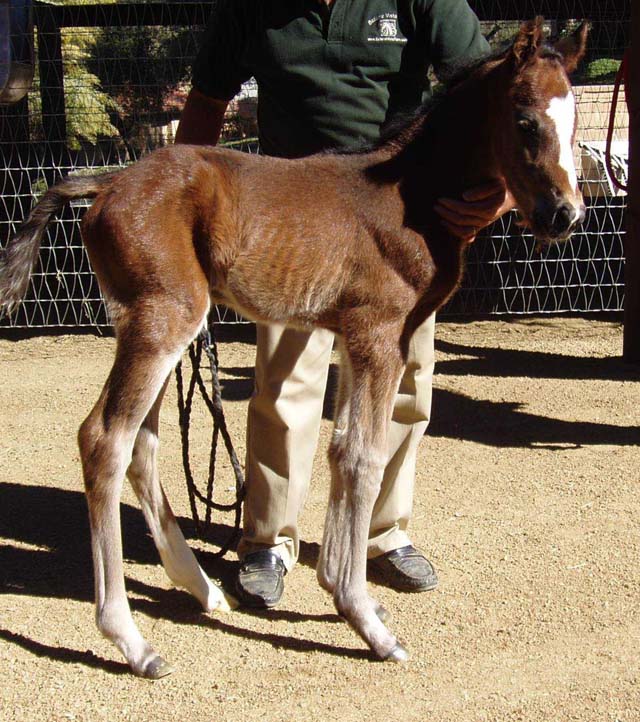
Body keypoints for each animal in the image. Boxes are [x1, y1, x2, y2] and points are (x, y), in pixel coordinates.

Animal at [0, 18, 587, 677]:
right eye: (525, 120)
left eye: (574, 123)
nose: (565, 215)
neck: (411, 196)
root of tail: (110, 178)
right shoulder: (380, 334)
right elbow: (364, 458)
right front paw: (365, 620)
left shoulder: (356, 339)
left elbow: (341, 450)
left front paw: (348, 593)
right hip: (163, 318)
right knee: (106, 439)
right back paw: (131, 639)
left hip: (156, 326)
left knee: (143, 443)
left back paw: (202, 588)